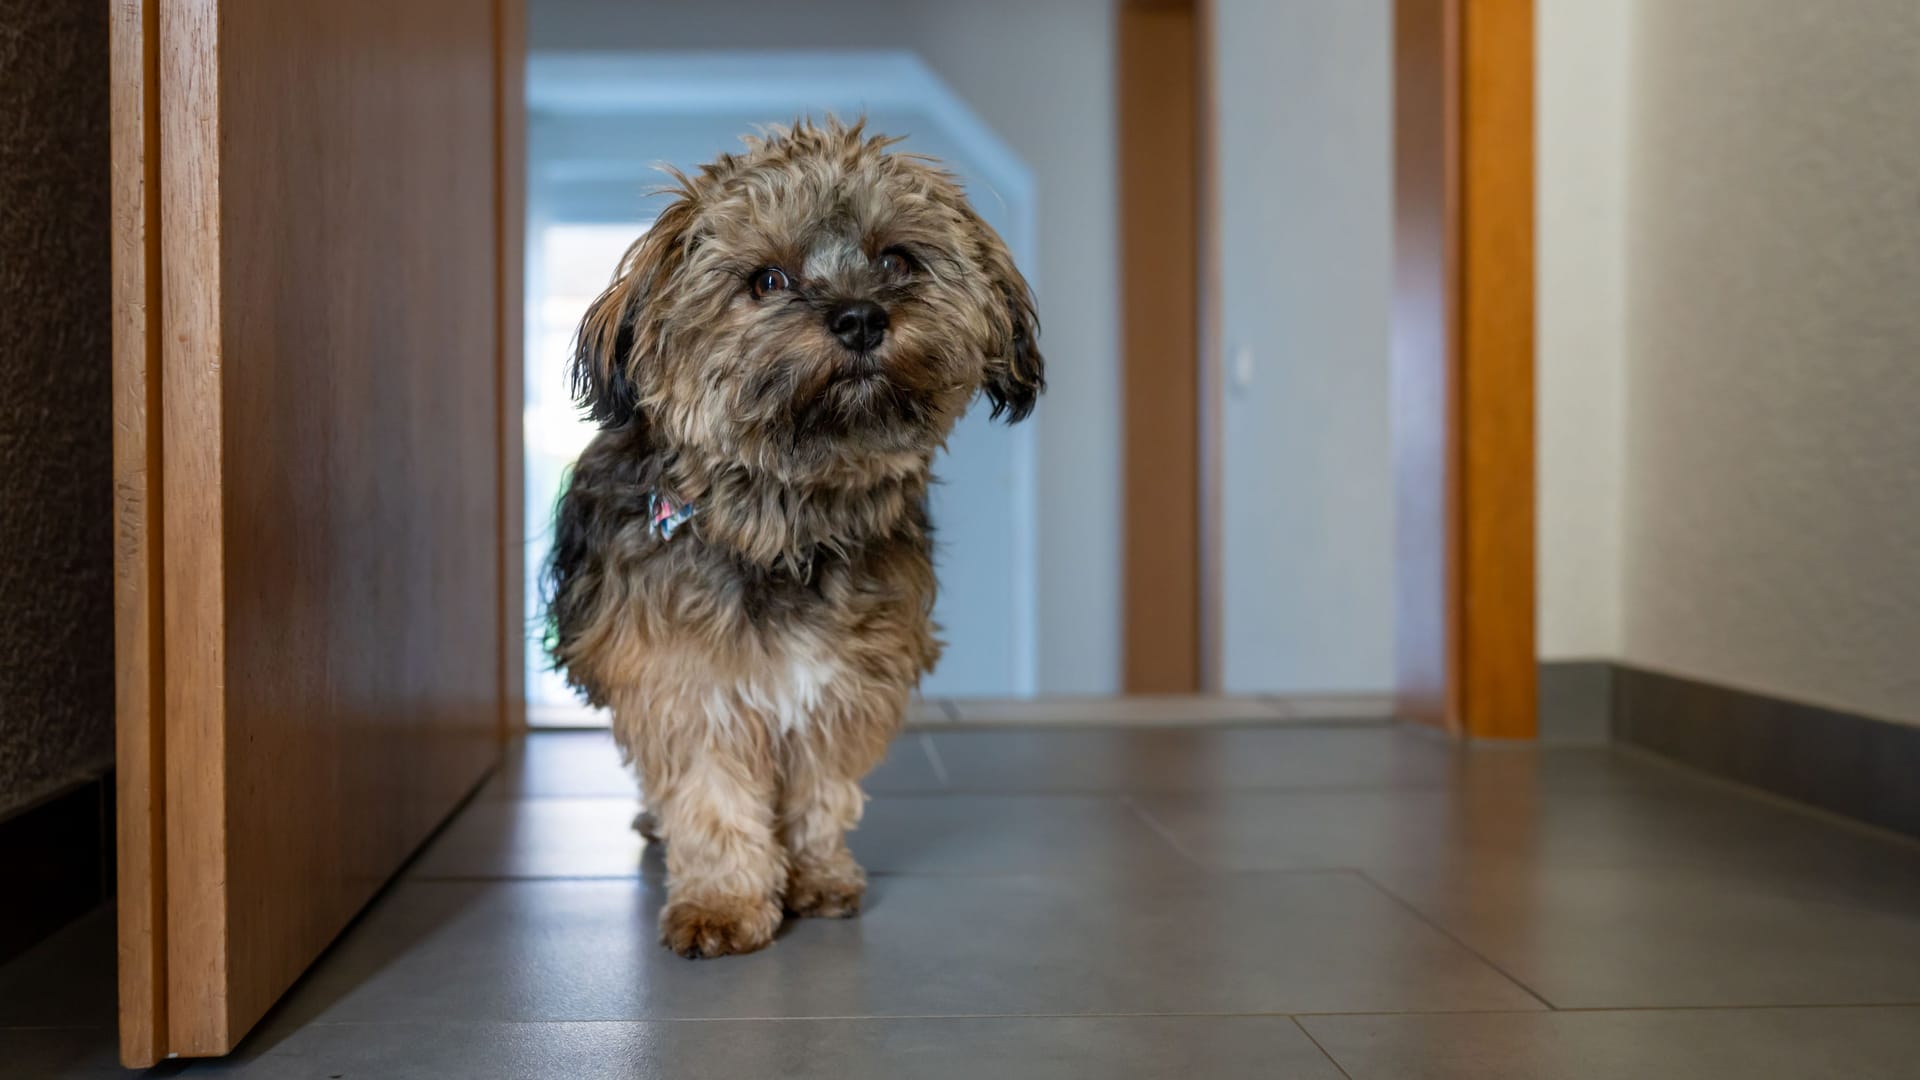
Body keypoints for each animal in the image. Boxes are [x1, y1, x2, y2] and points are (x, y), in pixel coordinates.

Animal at [541, 119, 1052, 957]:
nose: (860, 317)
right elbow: (711, 795)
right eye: (767, 281)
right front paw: (722, 902)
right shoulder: (685, 676)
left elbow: (819, 784)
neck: (789, 520)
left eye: (895, 259)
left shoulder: (845, 676)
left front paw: (814, 876)